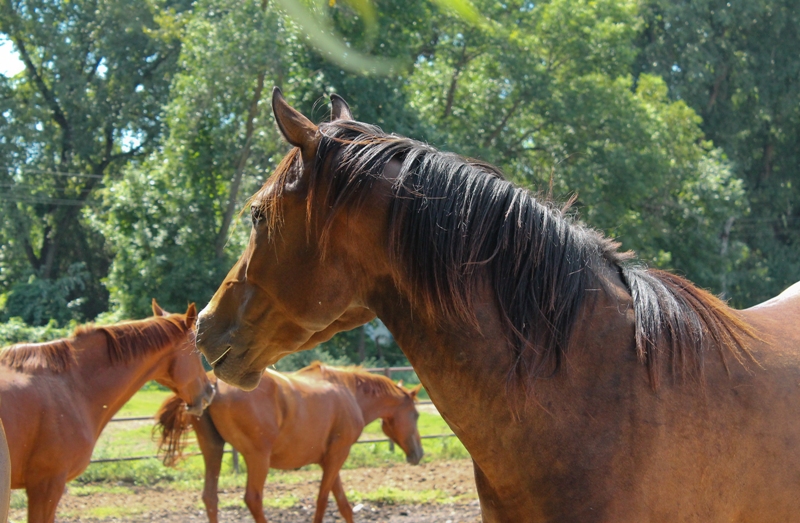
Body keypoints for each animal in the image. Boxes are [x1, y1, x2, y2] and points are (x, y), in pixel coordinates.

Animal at [152, 362, 422, 523]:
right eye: (417, 415)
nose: (418, 454)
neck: (349, 393)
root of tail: (214, 384)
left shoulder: (329, 460)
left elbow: (343, 504)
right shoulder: (338, 455)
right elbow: (323, 500)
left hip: (213, 450)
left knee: (210, 497)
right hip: (258, 458)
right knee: (253, 498)